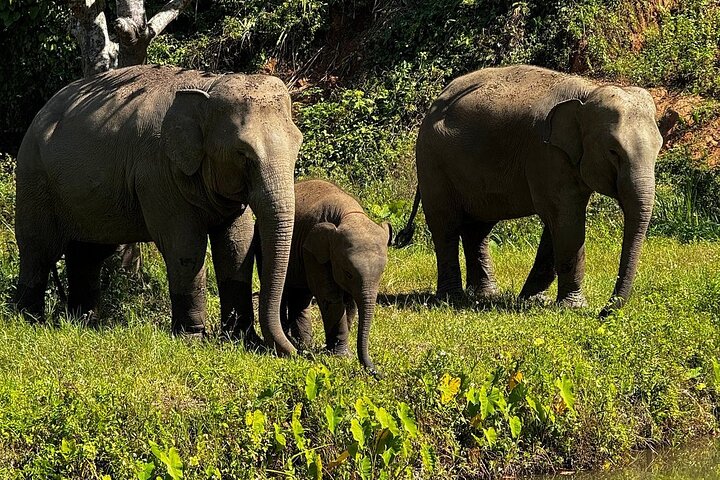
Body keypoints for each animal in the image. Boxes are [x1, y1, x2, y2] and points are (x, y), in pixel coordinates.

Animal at [14, 64, 302, 355]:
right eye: (242, 154)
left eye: (298, 145)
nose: (295, 351)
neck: (207, 86)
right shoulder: (156, 173)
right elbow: (185, 247)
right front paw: (192, 340)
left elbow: (237, 245)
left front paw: (243, 340)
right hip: (33, 180)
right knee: (38, 250)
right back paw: (30, 321)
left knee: (87, 254)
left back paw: (83, 322)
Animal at [255, 180, 391, 374]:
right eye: (348, 273)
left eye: (381, 274)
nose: (377, 373)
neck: (349, 215)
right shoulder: (312, 251)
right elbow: (330, 297)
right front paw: (341, 356)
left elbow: (350, 303)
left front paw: (336, 350)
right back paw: (294, 341)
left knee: (300, 297)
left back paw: (305, 344)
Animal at [396, 65, 663, 315]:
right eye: (613, 151)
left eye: (659, 148)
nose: (604, 312)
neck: (588, 92)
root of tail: (437, 100)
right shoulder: (545, 153)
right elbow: (566, 222)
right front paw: (573, 307)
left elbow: (557, 226)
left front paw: (533, 300)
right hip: (432, 162)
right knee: (446, 226)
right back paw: (452, 298)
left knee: (478, 229)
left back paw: (485, 295)